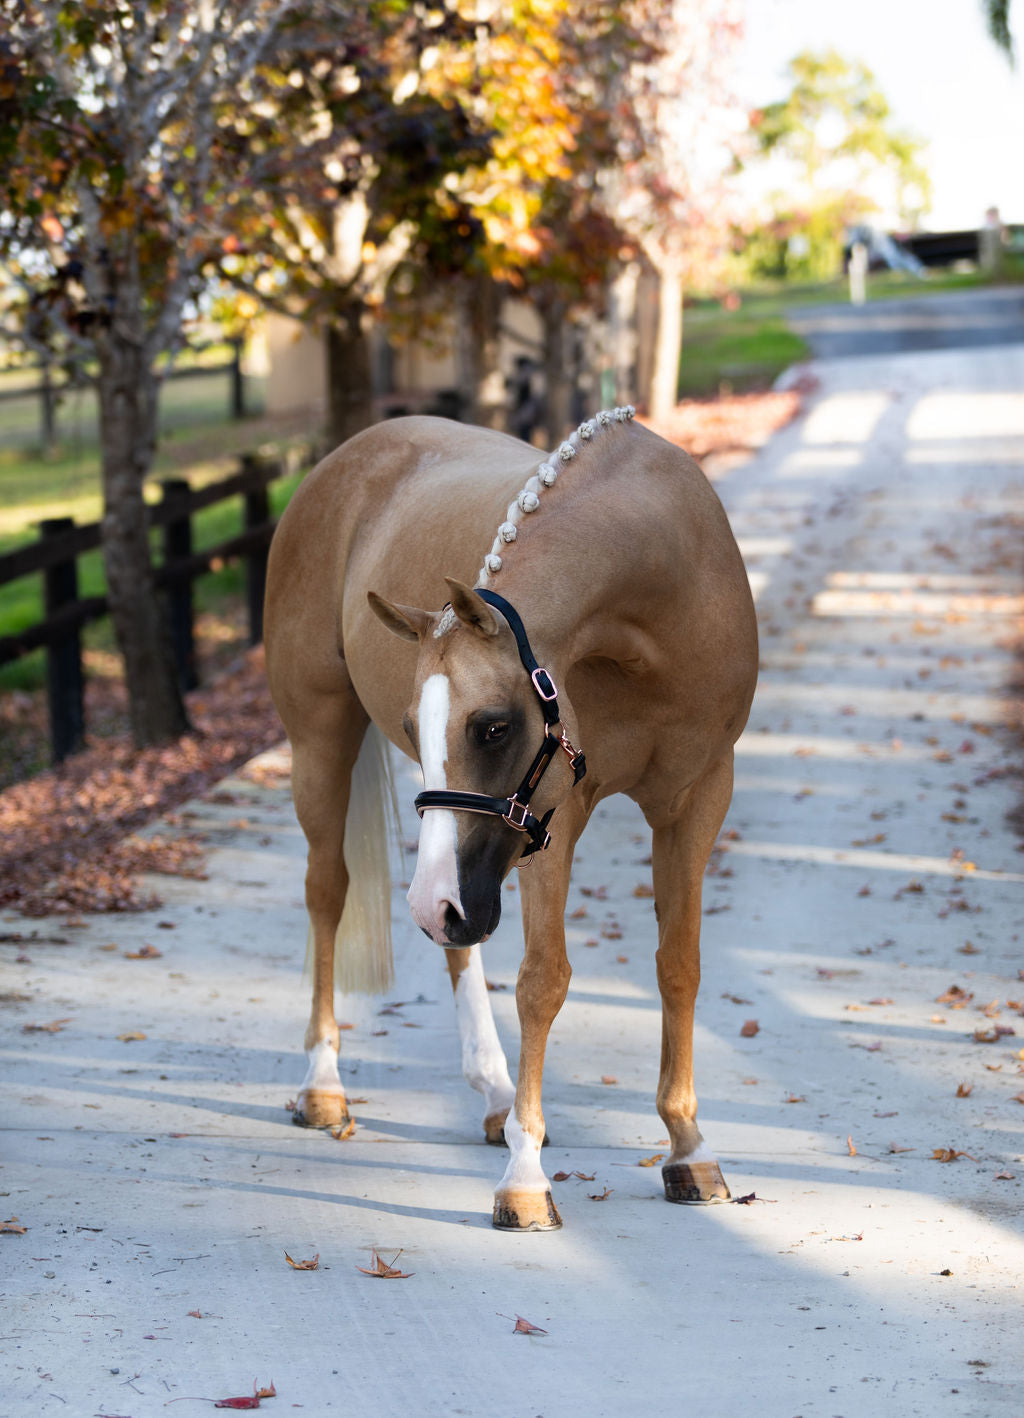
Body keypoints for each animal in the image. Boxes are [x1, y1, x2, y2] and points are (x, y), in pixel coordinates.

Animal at [263, 405, 758, 1231]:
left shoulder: (698, 800)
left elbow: (678, 965)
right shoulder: (558, 810)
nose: (436, 904)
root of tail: (345, 459)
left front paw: (688, 1149)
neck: (663, 593)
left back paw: (494, 1094)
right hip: (323, 745)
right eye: (418, 721)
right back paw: (323, 1084)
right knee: (328, 893)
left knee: (454, 942)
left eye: (492, 727)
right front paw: (527, 1182)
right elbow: (543, 980)